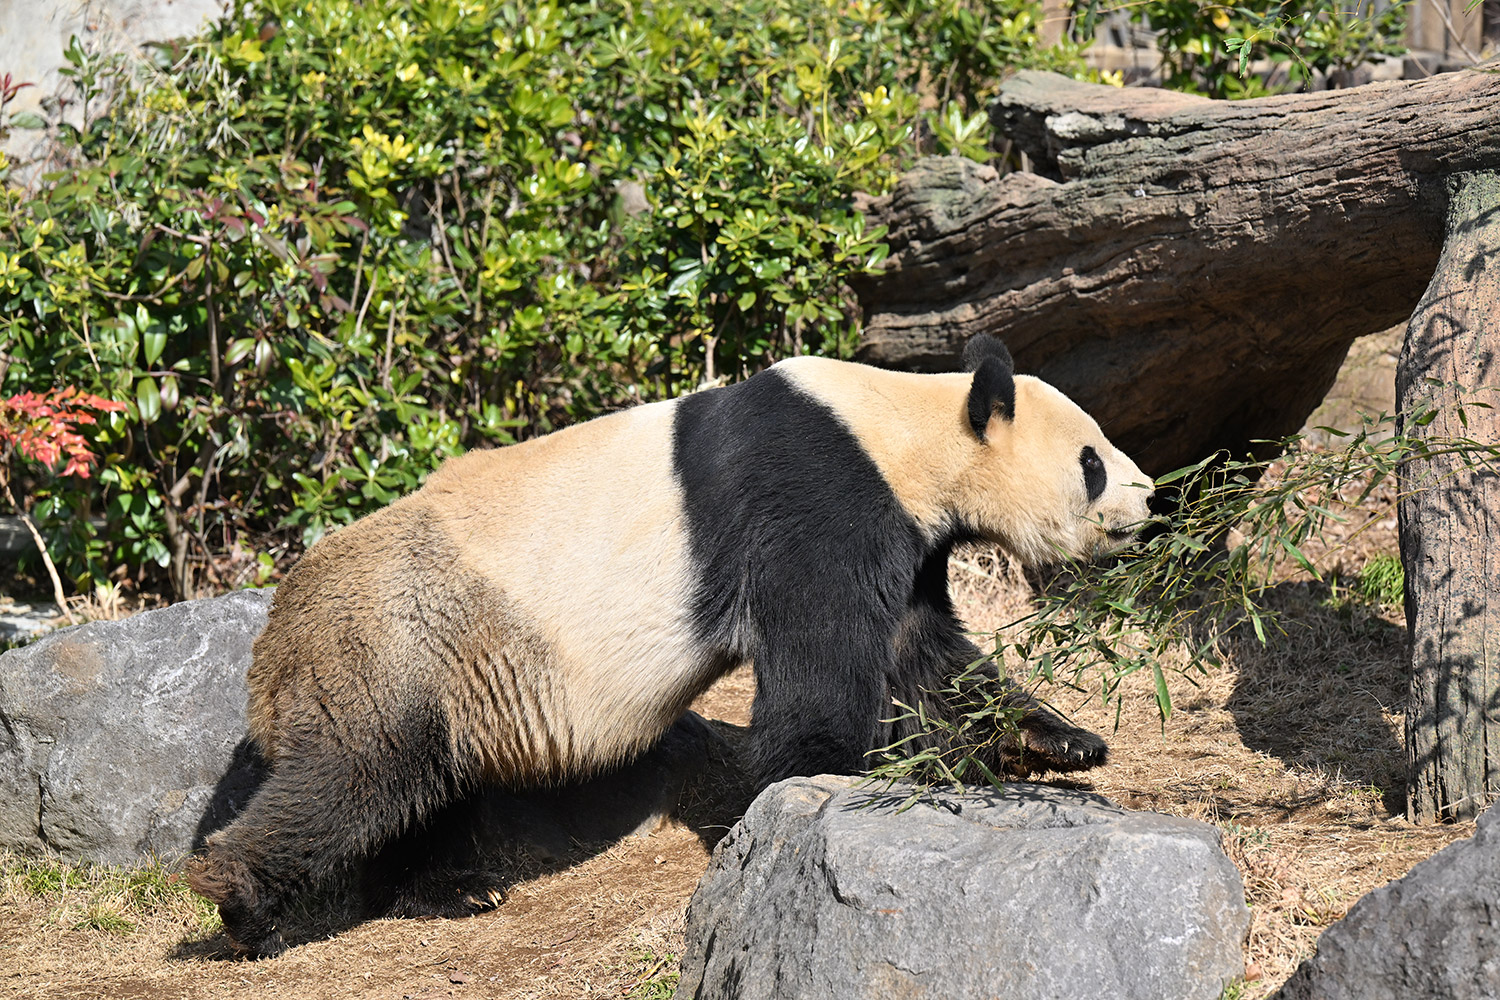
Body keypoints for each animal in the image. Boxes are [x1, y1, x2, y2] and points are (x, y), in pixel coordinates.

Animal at [184, 334, 1146, 953]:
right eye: (1092, 461)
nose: (1152, 500)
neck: (905, 426)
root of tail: (271, 648)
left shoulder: (904, 536)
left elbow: (931, 653)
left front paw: (1062, 742)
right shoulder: (815, 492)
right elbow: (822, 668)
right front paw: (830, 775)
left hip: (444, 670)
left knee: (421, 787)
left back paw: (448, 891)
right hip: (391, 639)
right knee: (351, 777)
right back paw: (238, 902)